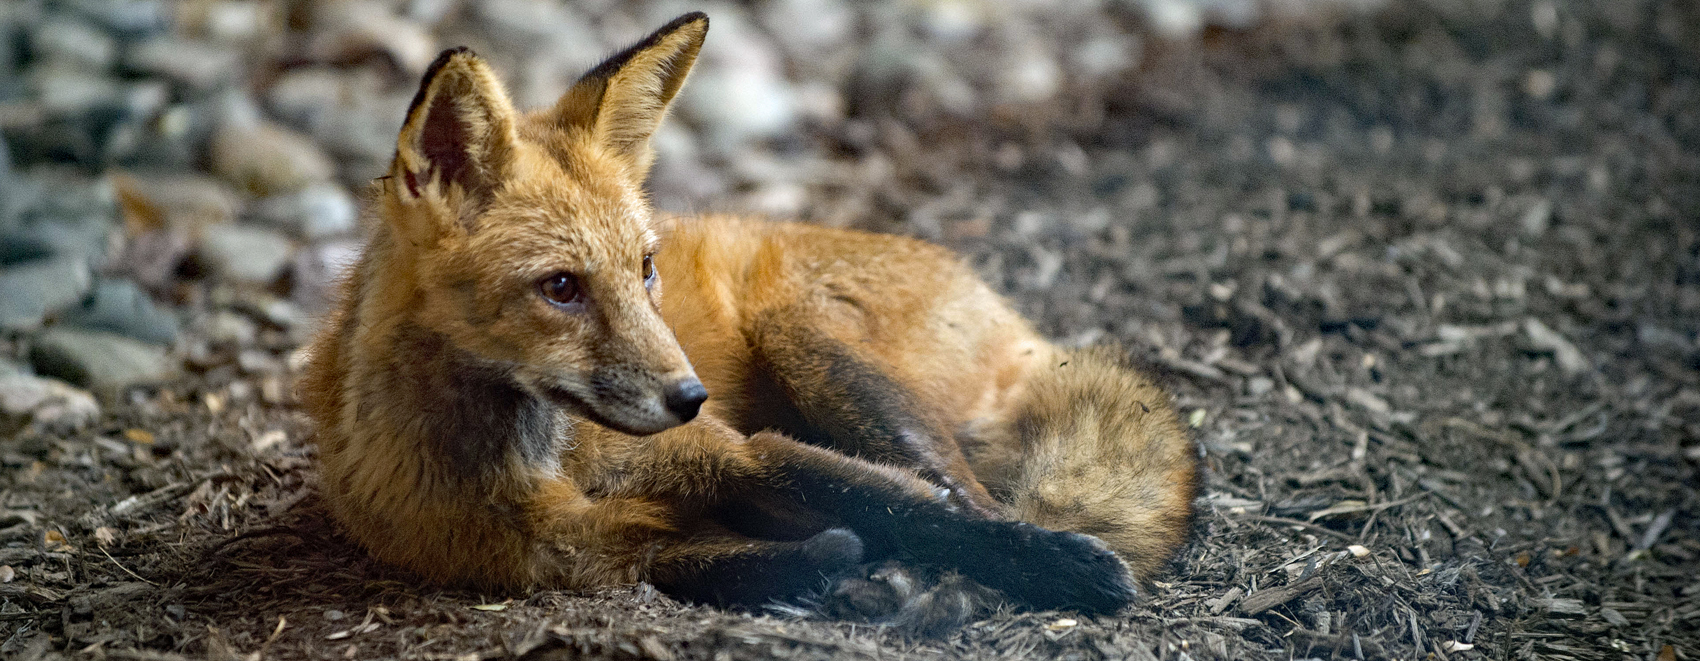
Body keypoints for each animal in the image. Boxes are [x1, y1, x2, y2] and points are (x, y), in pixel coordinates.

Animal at [299, 10, 1196, 618]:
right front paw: (837, 566)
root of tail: (1015, 319)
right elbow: (765, 555)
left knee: (968, 492)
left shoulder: (735, 449)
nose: (689, 394)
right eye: (561, 287)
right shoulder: (599, 556)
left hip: (809, 346)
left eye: (646, 268)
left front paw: (1068, 569)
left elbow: (902, 506)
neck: (545, 467)